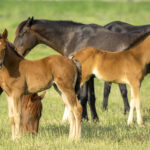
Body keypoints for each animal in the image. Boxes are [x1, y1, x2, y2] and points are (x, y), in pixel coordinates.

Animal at [13, 17, 150, 120]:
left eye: (22, 33)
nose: (15, 51)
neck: (75, 38)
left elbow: (82, 97)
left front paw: (84, 118)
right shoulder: (90, 77)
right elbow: (91, 97)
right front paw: (94, 118)